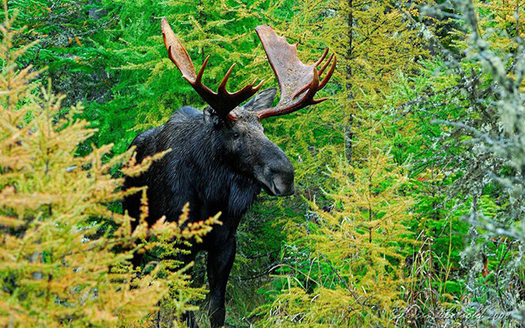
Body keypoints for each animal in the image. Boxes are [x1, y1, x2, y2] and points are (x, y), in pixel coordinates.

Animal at [122, 18, 336, 328]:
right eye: (235, 133)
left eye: (263, 130)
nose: (285, 176)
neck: (211, 197)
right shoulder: (181, 242)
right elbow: (186, 310)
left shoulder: (225, 244)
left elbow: (216, 310)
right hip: (132, 225)